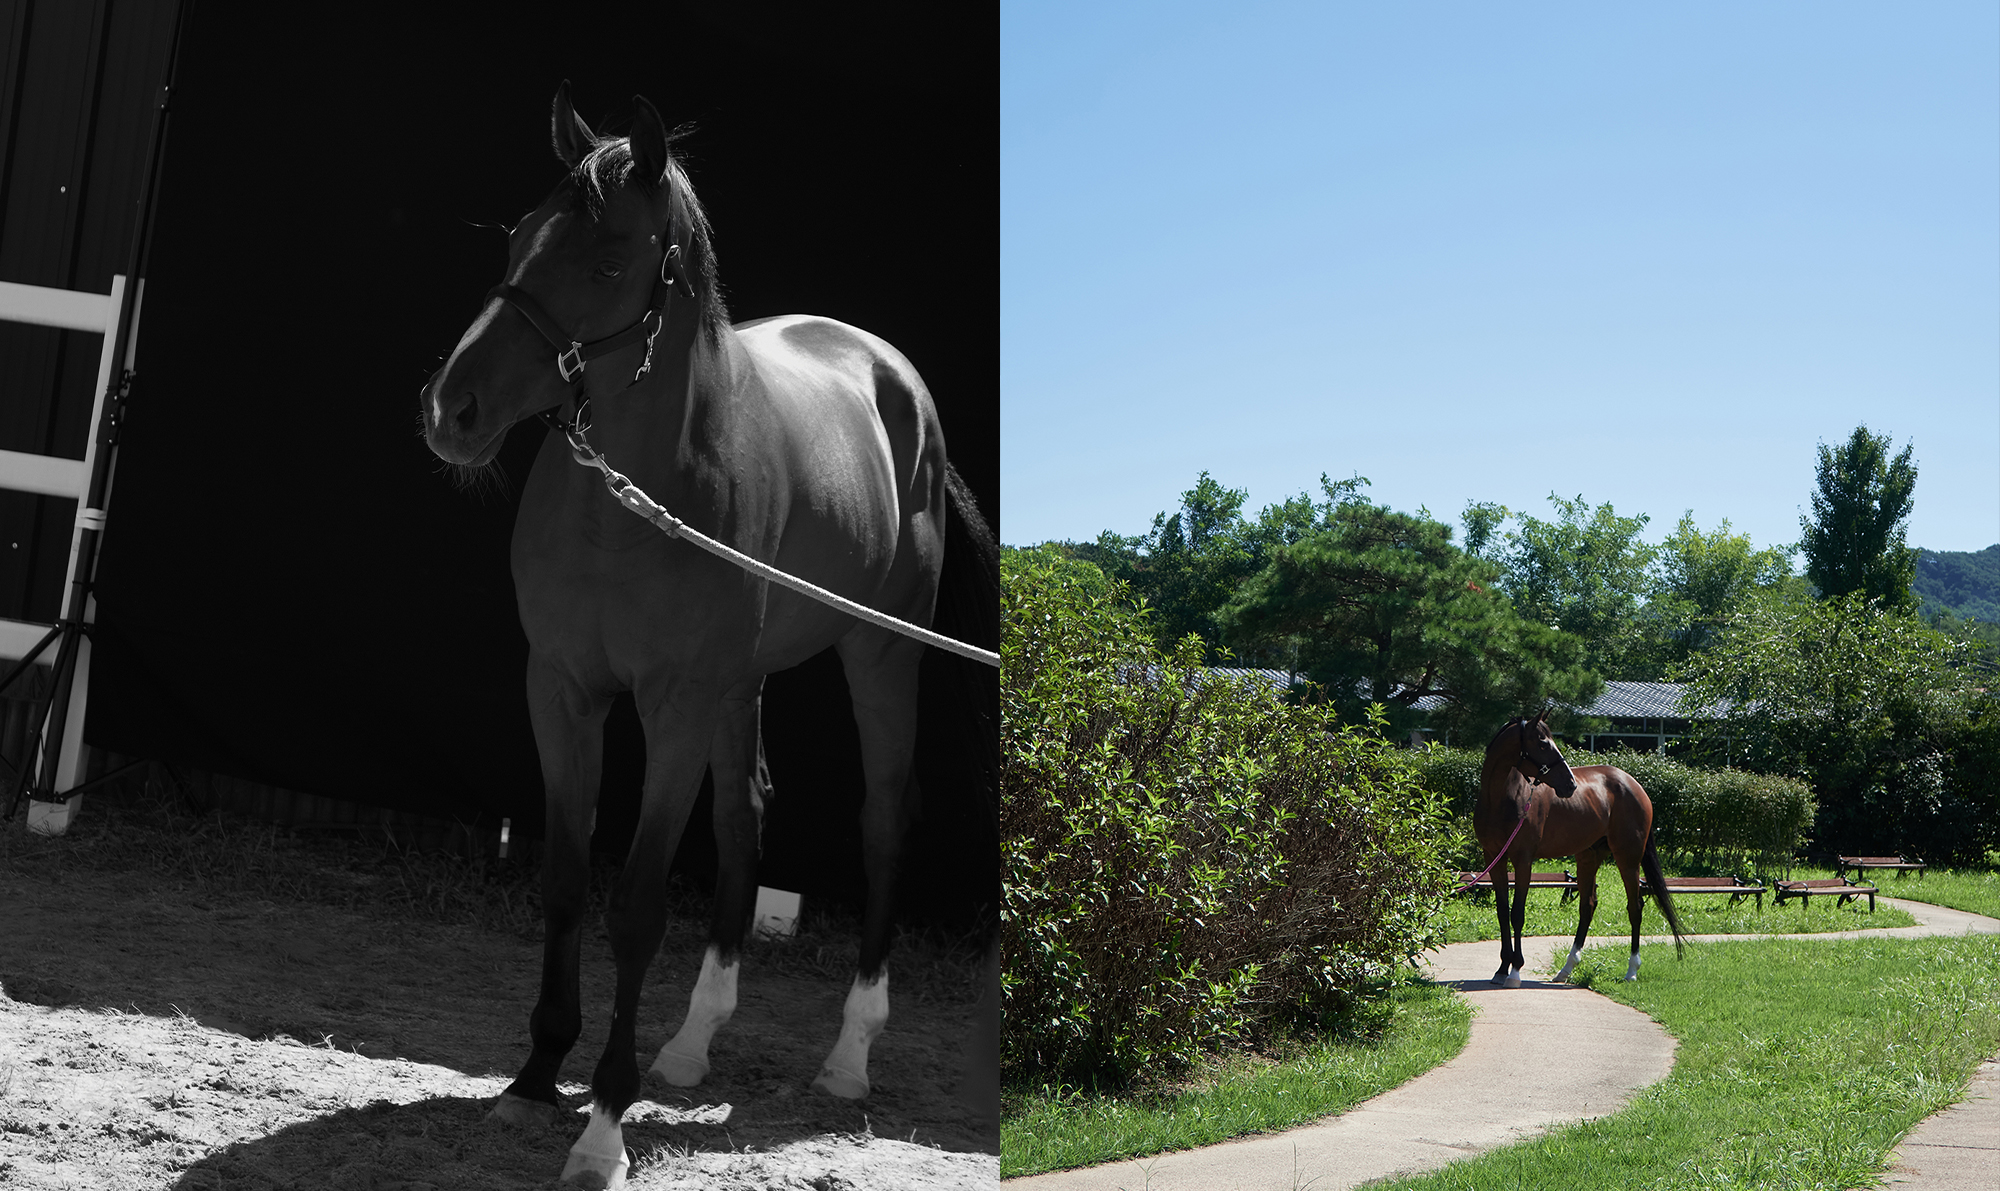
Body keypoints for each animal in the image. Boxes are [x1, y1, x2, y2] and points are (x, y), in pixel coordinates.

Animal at [420, 84, 993, 1188]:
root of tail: (891, 377)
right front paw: (533, 1078)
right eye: (518, 235)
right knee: (745, 813)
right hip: (742, 683)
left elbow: (637, 903)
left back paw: (849, 1056)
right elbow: (564, 878)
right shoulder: (562, 690)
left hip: (879, 655)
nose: (449, 409)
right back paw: (690, 1044)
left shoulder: (674, 706)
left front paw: (602, 1122)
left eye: (606, 261)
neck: (634, 499)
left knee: (883, 818)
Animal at [1475, 712, 1687, 988]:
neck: (1503, 800)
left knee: (1635, 906)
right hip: (1588, 856)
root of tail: (1634, 785)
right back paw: (1566, 968)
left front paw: (1515, 971)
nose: (1570, 785)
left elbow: (1517, 914)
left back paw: (1631, 970)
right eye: (1543, 744)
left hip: (1628, 857)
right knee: (1587, 906)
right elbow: (1502, 913)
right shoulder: (1494, 859)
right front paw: (1502, 969)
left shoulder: (1523, 860)